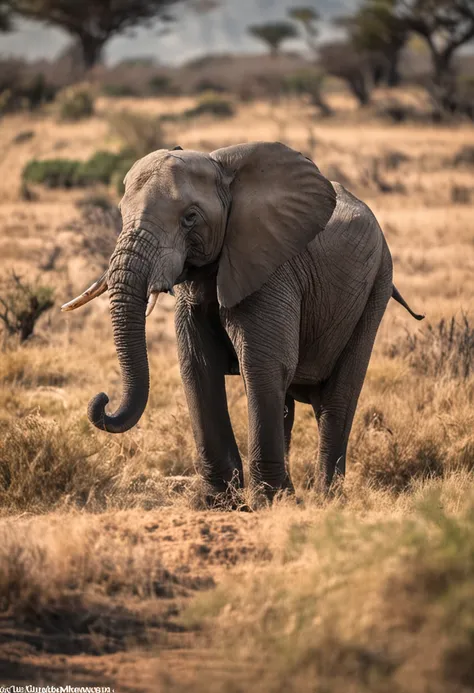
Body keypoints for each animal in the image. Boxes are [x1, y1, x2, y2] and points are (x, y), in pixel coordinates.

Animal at [62, 142, 422, 498]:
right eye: (122, 213)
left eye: (190, 218)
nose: (103, 399)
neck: (223, 170)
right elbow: (198, 367)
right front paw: (219, 502)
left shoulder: (271, 267)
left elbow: (263, 363)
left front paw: (269, 501)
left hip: (377, 283)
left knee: (337, 397)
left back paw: (325, 498)